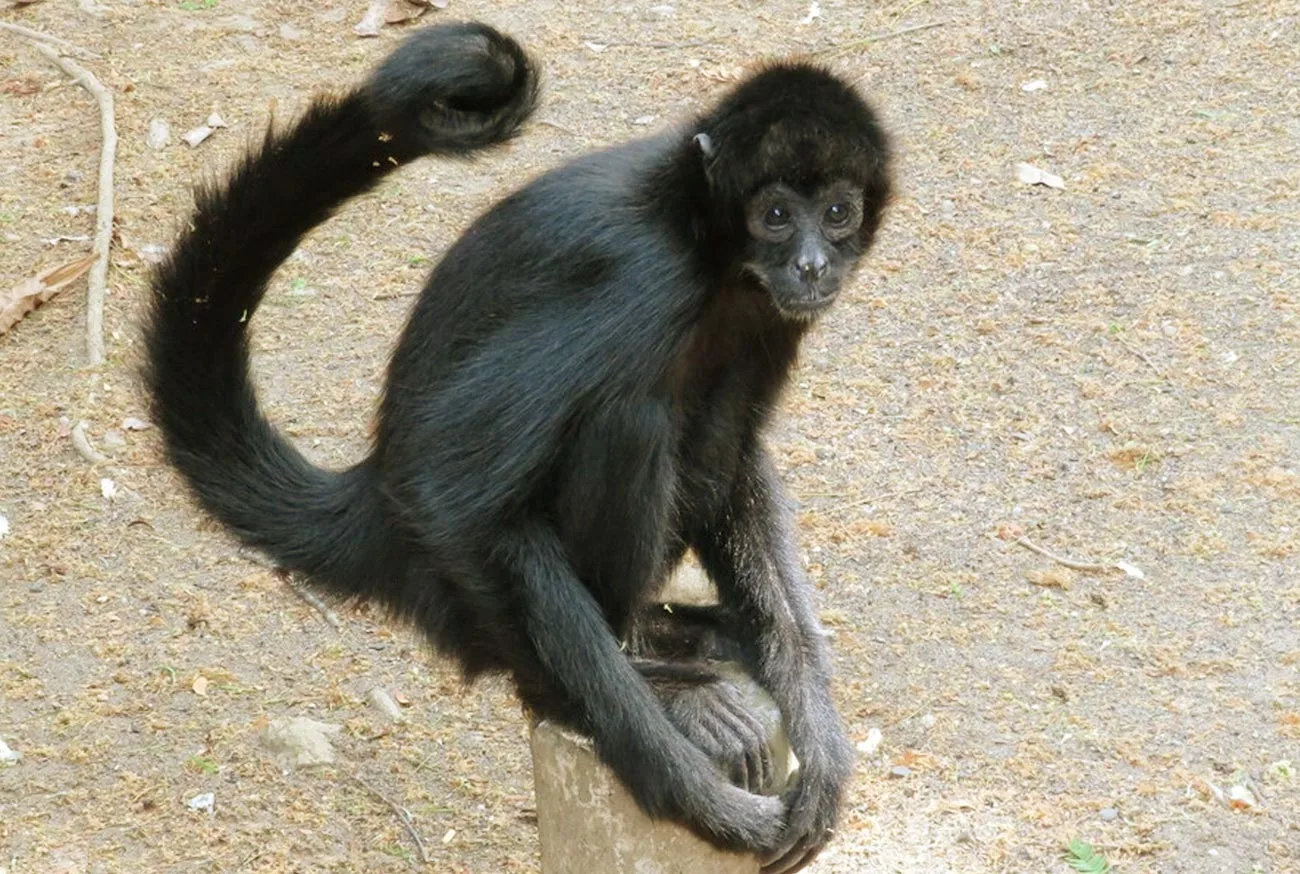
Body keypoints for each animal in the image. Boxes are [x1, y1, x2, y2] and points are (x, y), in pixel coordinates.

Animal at [144, 22, 894, 874]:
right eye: (774, 214)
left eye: (837, 212)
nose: (812, 262)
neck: (702, 242)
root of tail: (370, 501)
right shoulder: (638, 280)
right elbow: (452, 493)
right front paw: (682, 790)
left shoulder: (769, 314)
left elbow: (740, 462)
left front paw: (821, 741)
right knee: (629, 419)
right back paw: (644, 681)